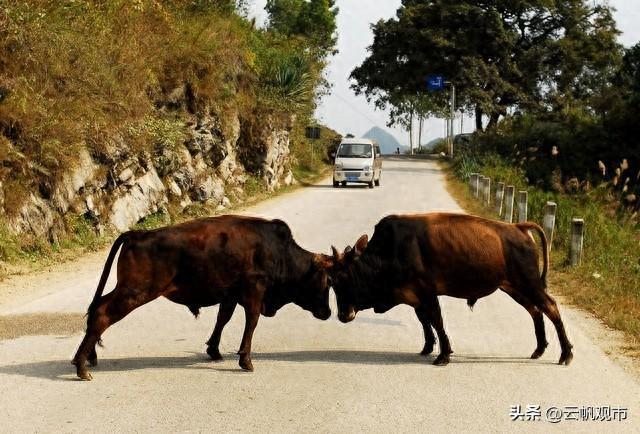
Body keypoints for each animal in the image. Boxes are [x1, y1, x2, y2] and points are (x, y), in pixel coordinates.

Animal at [72, 216, 332, 380]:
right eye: (325, 283)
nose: (328, 313)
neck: (278, 251)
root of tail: (138, 234)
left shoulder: (230, 295)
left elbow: (223, 319)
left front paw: (214, 351)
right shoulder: (254, 293)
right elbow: (251, 323)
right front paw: (245, 360)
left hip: (126, 290)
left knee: (96, 308)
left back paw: (88, 358)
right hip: (134, 292)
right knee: (102, 314)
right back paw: (82, 367)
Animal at [330, 214, 576, 366]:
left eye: (345, 278)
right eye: (332, 281)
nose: (342, 315)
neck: (389, 253)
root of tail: (518, 228)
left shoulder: (427, 293)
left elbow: (436, 321)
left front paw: (443, 355)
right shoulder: (416, 297)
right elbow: (425, 322)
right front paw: (428, 347)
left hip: (529, 283)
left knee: (550, 307)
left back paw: (566, 353)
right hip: (514, 287)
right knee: (535, 311)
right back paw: (539, 349)